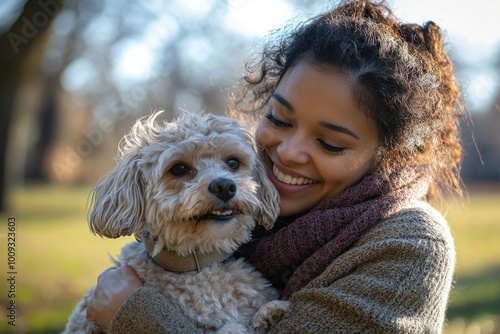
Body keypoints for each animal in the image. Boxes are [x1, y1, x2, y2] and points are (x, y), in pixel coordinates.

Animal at [63, 112, 290, 334]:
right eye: (179, 168)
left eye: (233, 163)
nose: (225, 186)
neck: (199, 265)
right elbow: (229, 328)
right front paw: (244, 324)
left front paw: (269, 312)